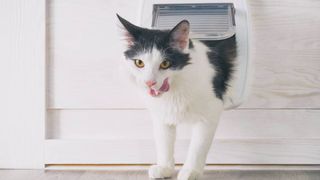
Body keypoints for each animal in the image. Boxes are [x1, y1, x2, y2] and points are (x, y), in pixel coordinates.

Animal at [117, 14, 238, 180]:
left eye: (165, 64)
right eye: (139, 63)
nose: (149, 83)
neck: (175, 89)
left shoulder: (210, 112)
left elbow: (198, 146)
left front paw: (191, 171)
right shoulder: (161, 115)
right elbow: (164, 142)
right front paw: (165, 168)